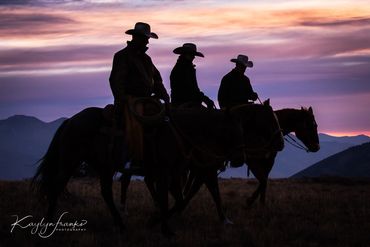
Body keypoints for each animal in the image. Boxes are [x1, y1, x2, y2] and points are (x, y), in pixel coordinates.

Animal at [31, 99, 282, 235]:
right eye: (231, 129)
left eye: (243, 128)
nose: (239, 158)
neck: (183, 132)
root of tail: (71, 120)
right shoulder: (171, 172)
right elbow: (174, 197)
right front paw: (163, 225)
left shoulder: (181, 171)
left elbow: (182, 197)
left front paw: (160, 222)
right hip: (70, 161)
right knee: (57, 186)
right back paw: (49, 223)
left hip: (104, 167)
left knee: (106, 192)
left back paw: (121, 224)